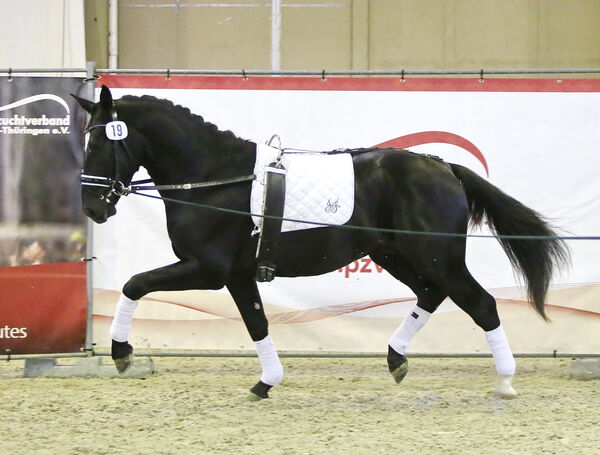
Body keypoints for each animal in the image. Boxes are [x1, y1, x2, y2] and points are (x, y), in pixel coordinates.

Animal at [74, 87, 568, 400]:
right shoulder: (237, 276)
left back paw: (504, 383)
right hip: (396, 254)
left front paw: (121, 354)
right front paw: (267, 382)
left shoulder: (209, 270)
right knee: (432, 294)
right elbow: (257, 323)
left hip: (435, 255)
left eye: (98, 144)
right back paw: (396, 360)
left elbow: (135, 284)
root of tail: (443, 166)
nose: (92, 208)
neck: (213, 178)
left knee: (480, 303)